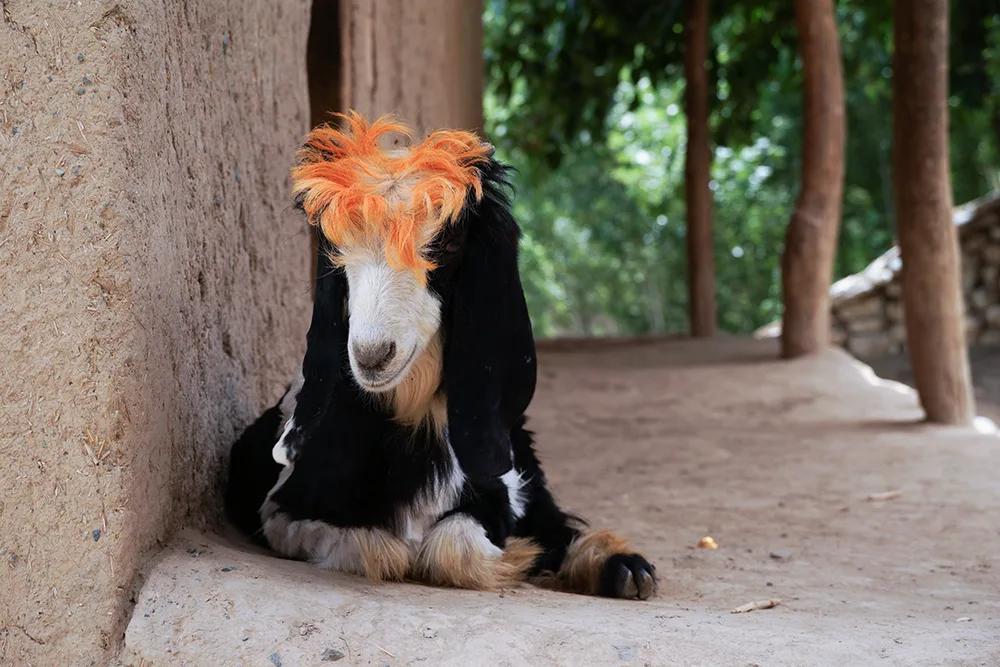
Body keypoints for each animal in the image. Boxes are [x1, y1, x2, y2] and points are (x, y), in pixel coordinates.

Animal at [225, 112, 657, 599]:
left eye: (448, 245)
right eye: (335, 247)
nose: (372, 357)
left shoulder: (497, 495)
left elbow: (454, 546)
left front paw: (519, 557)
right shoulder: (283, 511)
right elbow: (380, 550)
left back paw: (622, 569)